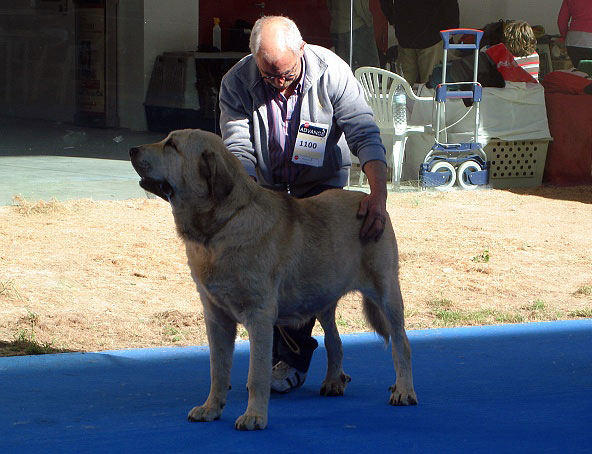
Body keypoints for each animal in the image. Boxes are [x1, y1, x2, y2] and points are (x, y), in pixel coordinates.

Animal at [130, 129, 416, 430]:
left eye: (172, 145)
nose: (131, 150)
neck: (222, 226)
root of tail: (370, 201)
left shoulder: (259, 316)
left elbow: (257, 374)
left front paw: (254, 416)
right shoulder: (216, 319)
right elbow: (217, 370)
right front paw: (211, 408)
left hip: (387, 294)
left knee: (401, 343)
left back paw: (403, 390)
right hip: (322, 298)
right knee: (334, 341)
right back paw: (333, 381)